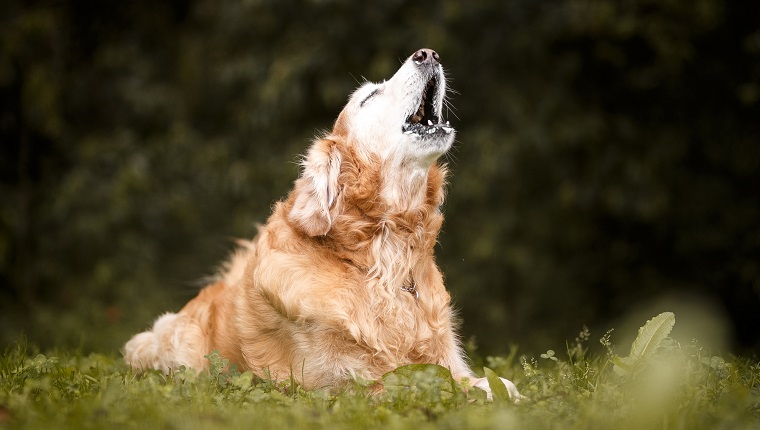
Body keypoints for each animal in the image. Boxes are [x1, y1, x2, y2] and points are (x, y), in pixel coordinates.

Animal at [124, 48, 524, 402]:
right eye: (369, 97)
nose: (428, 54)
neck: (383, 259)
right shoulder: (338, 383)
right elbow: (421, 385)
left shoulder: (446, 358)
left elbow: (487, 381)